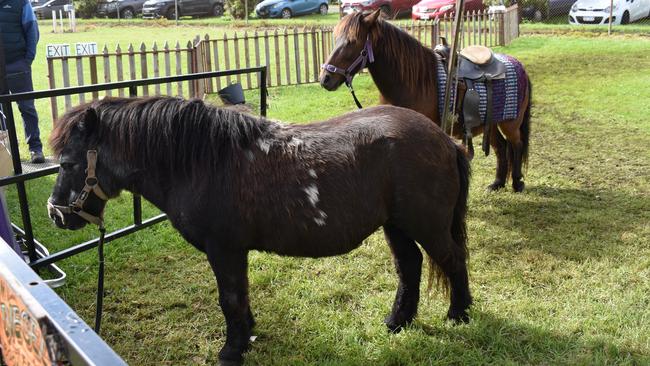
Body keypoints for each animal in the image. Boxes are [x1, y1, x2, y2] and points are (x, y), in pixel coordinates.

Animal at [48, 96, 468, 364]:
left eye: (68, 163)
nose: (56, 214)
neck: (203, 162)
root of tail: (444, 139)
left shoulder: (224, 250)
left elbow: (230, 299)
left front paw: (232, 351)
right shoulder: (233, 252)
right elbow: (241, 298)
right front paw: (247, 335)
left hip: (425, 224)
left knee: (452, 259)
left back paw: (459, 315)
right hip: (396, 225)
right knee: (410, 266)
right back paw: (398, 321)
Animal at [320, 10, 532, 193]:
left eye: (351, 42)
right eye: (335, 39)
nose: (325, 79)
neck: (414, 82)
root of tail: (517, 64)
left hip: (511, 124)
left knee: (516, 145)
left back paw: (517, 183)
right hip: (491, 123)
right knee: (501, 147)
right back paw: (497, 183)